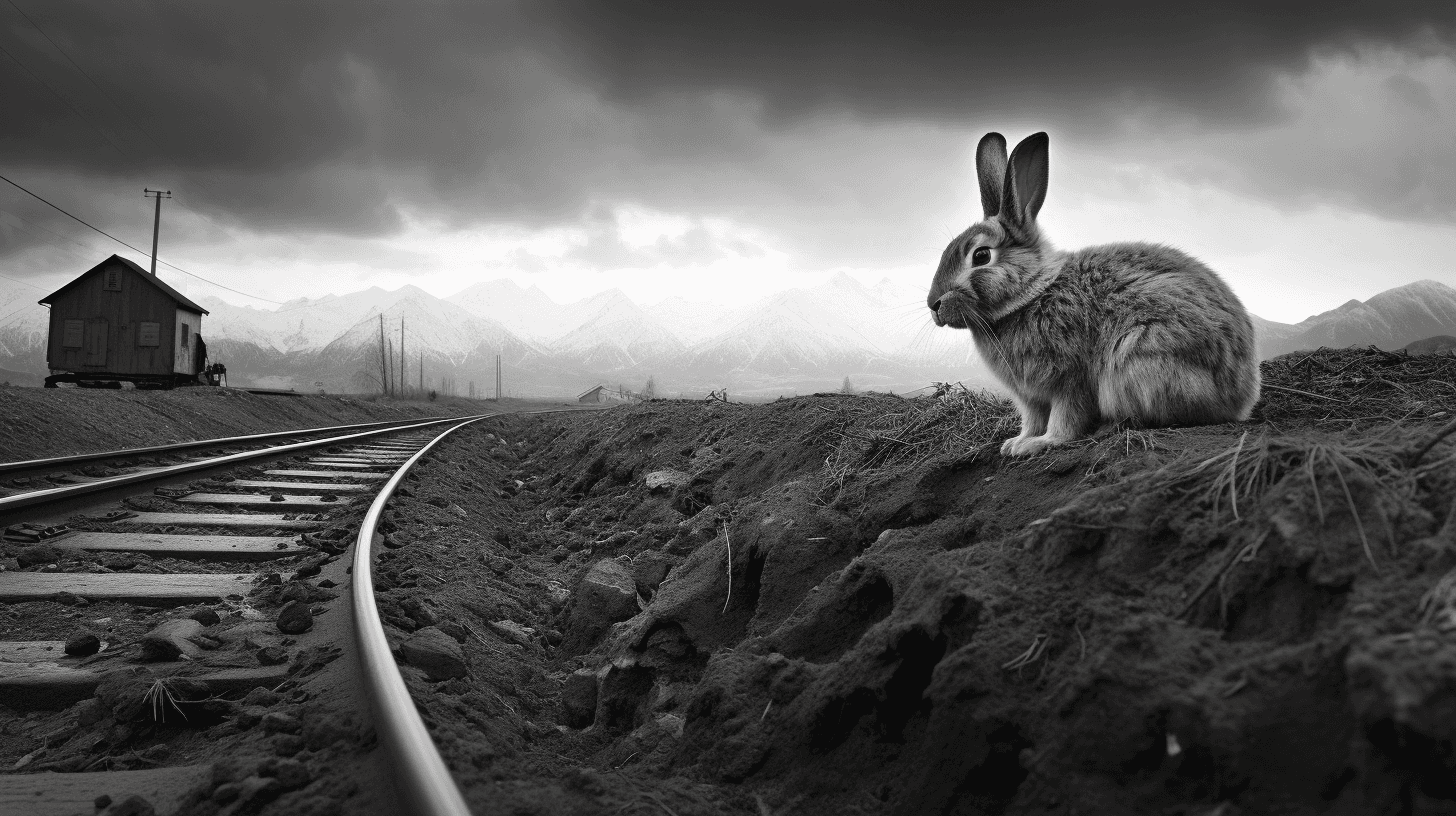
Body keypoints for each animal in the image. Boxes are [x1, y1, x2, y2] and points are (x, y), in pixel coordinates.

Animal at [927, 131, 1260, 457]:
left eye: (981, 256)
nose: (934, 304)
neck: (1031, 293)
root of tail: (1242, 396)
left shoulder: (1069, 380)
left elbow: (1066, 418)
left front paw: (1041, 443)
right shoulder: (1030, 397)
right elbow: (1031, 419)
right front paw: (1016, 443)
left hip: (1140, 357)